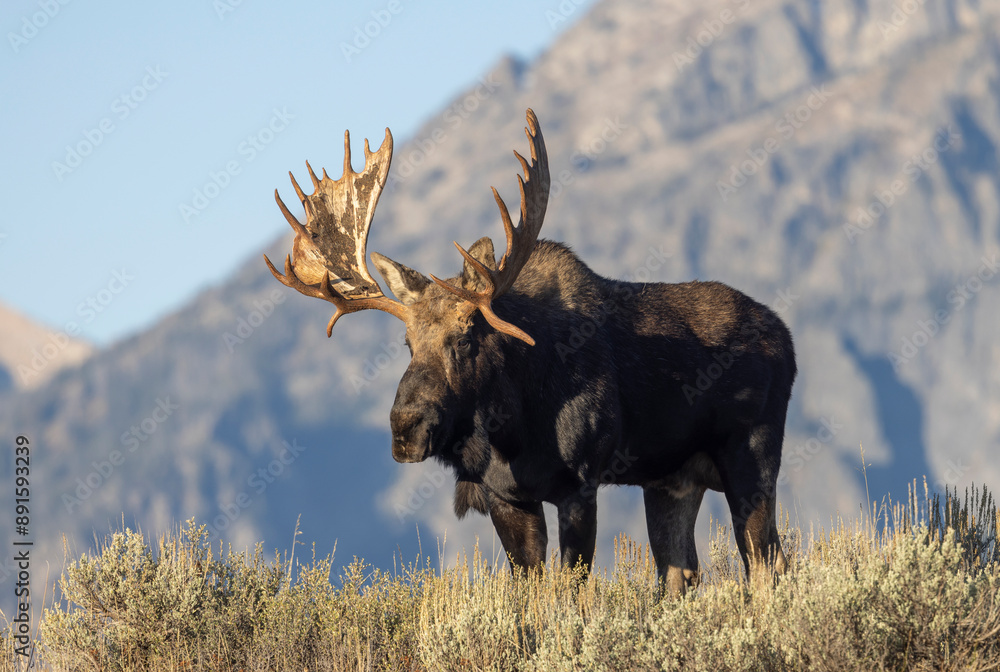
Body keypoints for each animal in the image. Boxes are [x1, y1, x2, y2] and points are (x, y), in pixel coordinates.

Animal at [266, 109, 796, 592]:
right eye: (407, 343)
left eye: (465, 337)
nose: (405, 428)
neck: (512, 428)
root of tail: (787, 338)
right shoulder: (507, 497)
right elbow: (531, 593)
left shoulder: (579, 485)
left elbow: (571, 591)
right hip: (671, 478)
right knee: (681, 572)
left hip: (752, 455)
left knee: (767, 561)